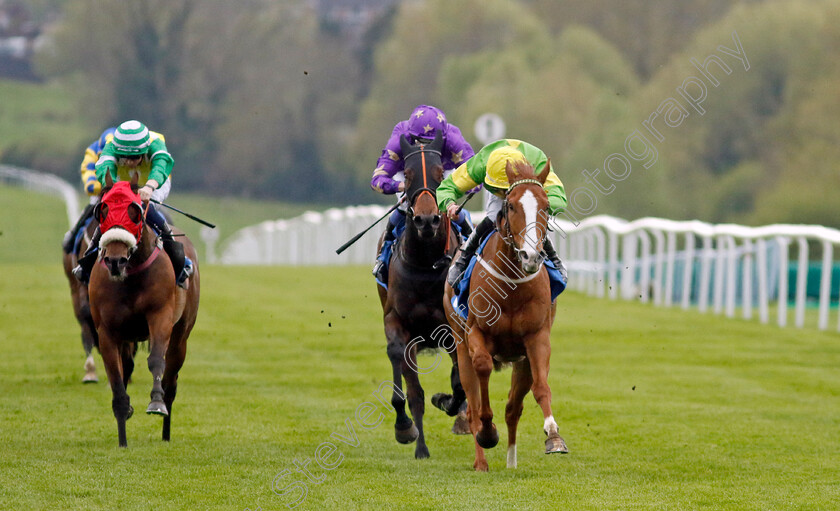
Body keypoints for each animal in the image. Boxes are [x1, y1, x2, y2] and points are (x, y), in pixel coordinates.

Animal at [89, 174, 200, 446]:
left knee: (171, 380)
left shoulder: (160, 316)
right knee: (127, 367)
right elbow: (116, 377)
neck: (130, 275)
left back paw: (166, 432)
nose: (115, 261)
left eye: (136, 212)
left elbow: (156, 360)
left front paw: (156, 403)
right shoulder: (107, 331)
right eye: (102, 211)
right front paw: (122, 434)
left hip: (181, 335)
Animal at [378, 131, 470, 460]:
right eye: (407, 174)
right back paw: (419, 444)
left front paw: (450, 405)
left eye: (440, 172)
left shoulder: (453, 327)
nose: (427, 220)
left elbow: (459, 383)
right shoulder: (397, 321)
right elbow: (404, 374)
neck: (425, 265)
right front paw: (405, 428)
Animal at [442, 159, 568, 472]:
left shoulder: (536, 338)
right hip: (460, 346)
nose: (531, 256)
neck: (511, 286)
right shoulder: (476, 334)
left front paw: (554, 436)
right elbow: (483, 370)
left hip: (521, 361)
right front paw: (488, 433)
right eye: (510, 205)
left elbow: (541, 387)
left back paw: (511, 462)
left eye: (546, 205)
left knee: (513, 408)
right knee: (473, 405)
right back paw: (481, 460)